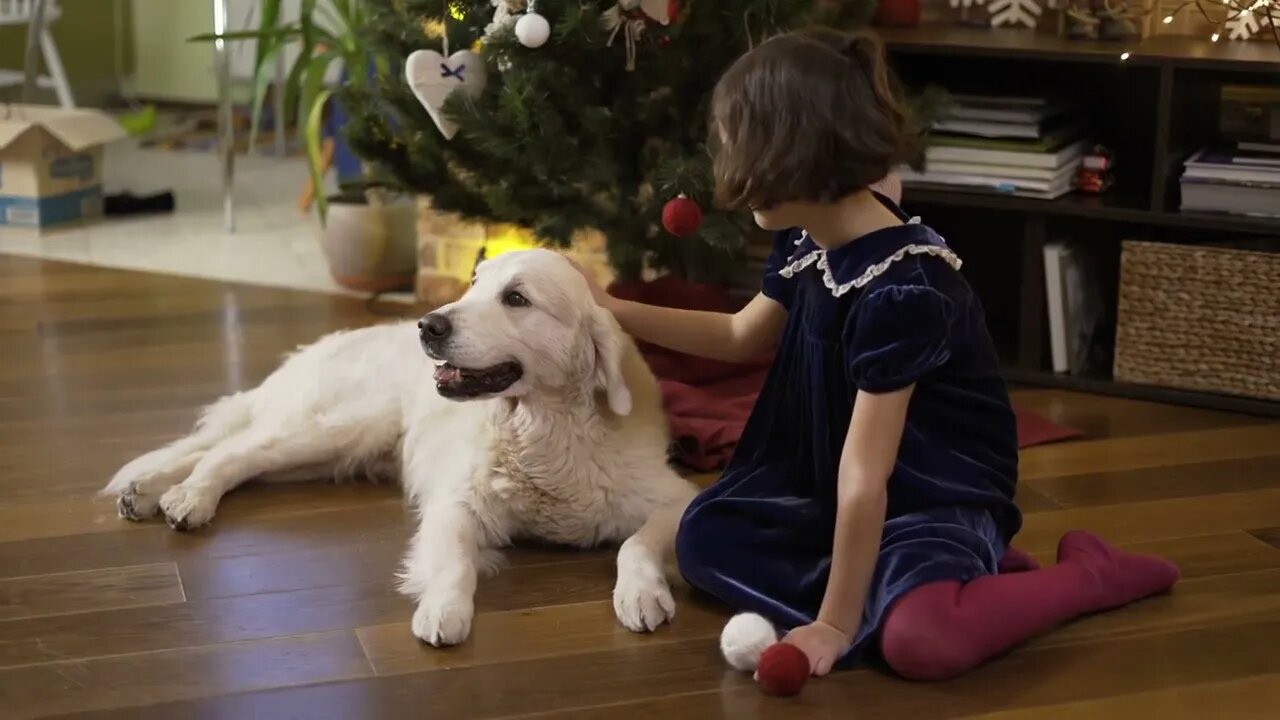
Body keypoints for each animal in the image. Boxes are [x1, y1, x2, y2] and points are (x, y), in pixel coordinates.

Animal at [103, 248, 696, 645]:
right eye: (473, 283)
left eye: (517, 298)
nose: (428, 325)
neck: (544, 432)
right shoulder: (456, 503)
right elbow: (455, 561)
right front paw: (444, 610)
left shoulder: (676, 498)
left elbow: (634, 542)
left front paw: (641, 592)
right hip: (334, 427)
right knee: (230, 452)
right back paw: (187, 498)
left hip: (329, 453)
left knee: (223, 448)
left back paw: (149, 491)